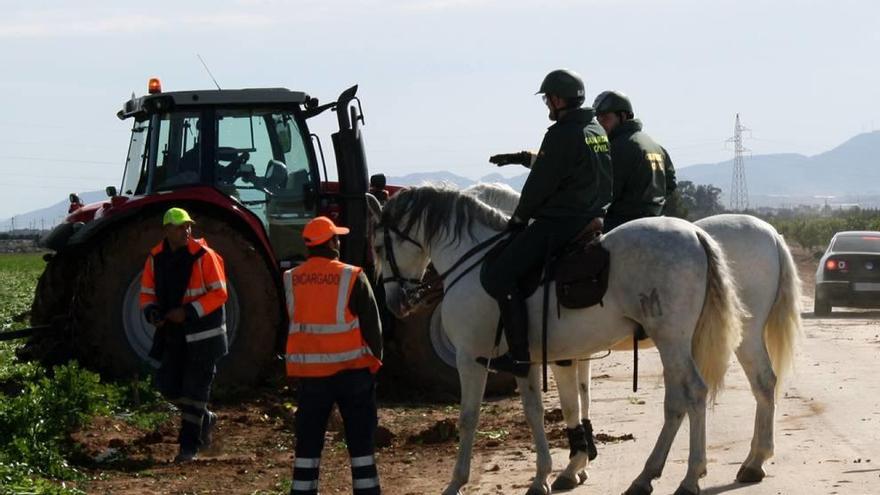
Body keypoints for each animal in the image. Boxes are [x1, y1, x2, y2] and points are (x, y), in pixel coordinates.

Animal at [372, 186, 744, 495]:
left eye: (379, 248)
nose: (395, 303)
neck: (473, 263)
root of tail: (695, 233)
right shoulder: (527, 361)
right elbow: (537, 411)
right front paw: (543, 477)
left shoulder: (470, 357)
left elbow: (469, 417)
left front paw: (456, 482)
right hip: (676, 343)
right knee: (677, 401)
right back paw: (647, 476)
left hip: (671, 340)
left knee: (693, 393)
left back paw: (689, 477)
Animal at [468, 184, 804, 490]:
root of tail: (771, 234)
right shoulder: (576, 351)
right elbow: (581, 396)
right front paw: (580, 462)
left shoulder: (560, 354)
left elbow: (572, 402)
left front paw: (574, 465)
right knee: (757, 384)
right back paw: (752, 462)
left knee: (738, 388)